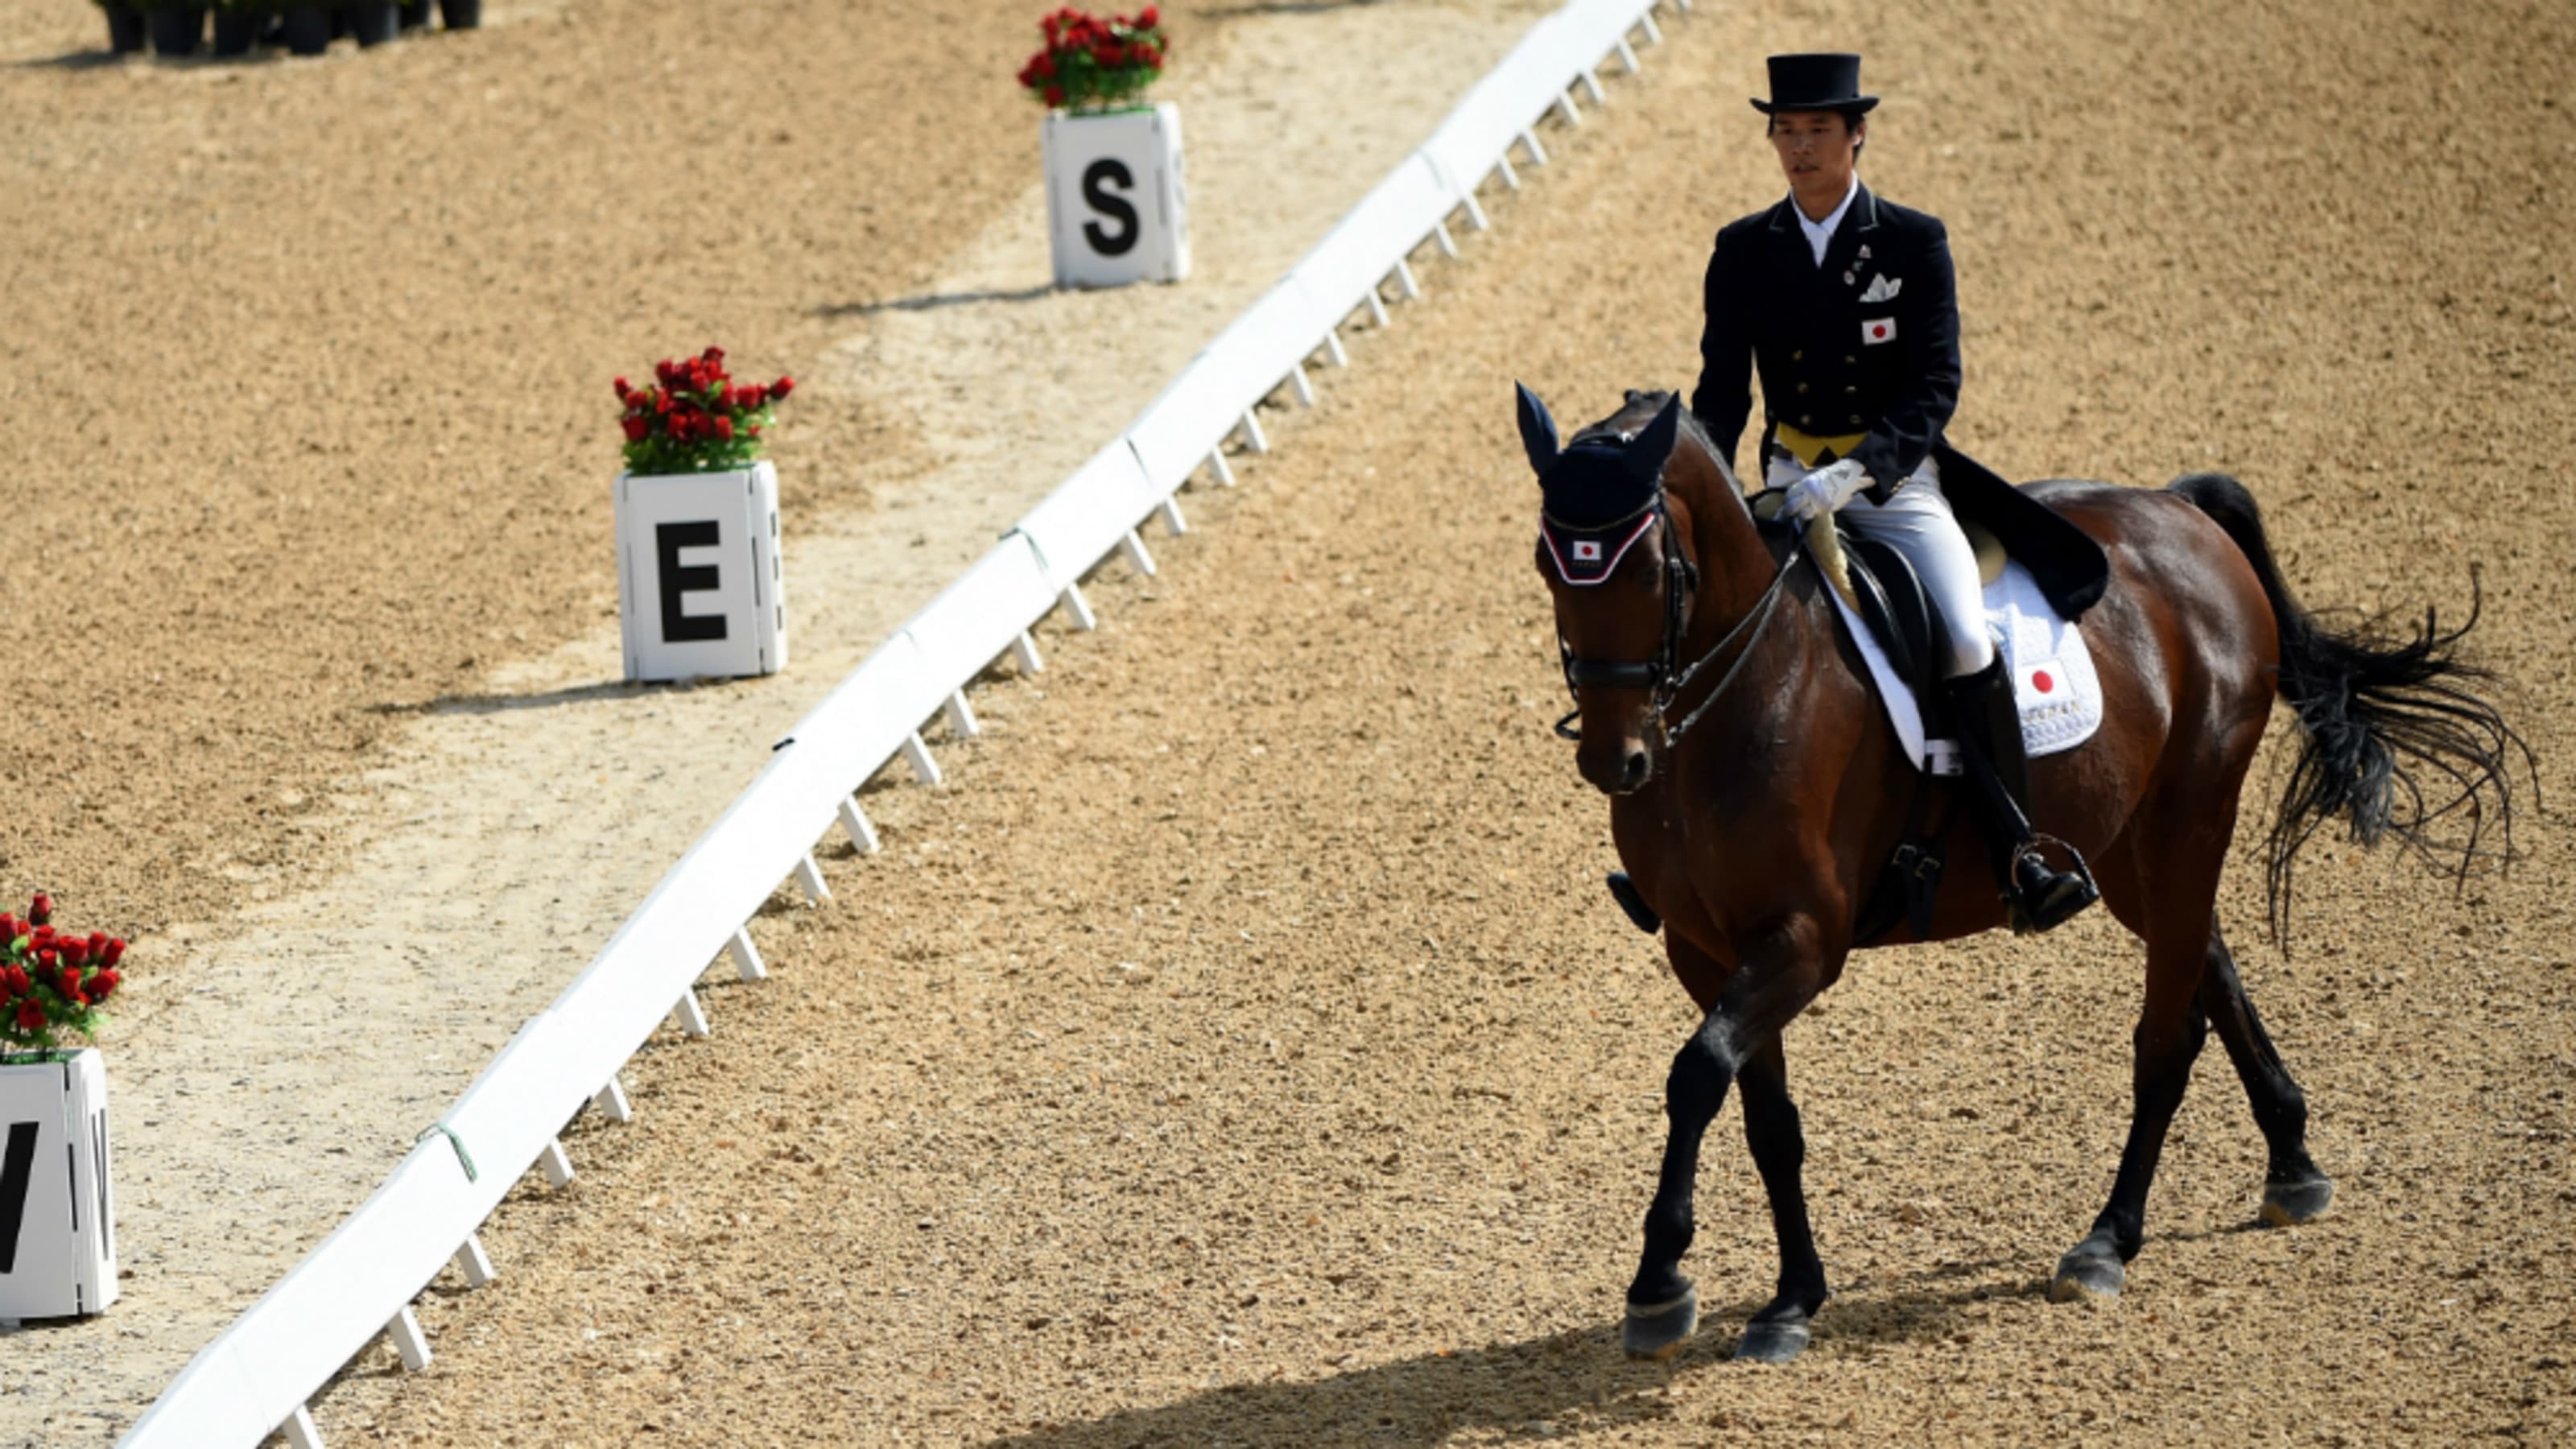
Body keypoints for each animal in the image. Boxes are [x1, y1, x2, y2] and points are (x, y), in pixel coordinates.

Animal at [1514, 382, 2524, 1351]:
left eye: (1653, 569)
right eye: (1545, 565)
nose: (1614, 761)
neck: (1729, 703)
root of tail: (2177, 509)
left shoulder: (1802, 941)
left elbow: (1695, 1075)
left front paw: (1658, 1283)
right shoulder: (1704, 948)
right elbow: (1764, 1117)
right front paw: (1791, 1297)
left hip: (2189, 815)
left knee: (2166, 1033)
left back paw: (2107, 1241)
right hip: (2128, 846)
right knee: (2207, 961)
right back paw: (2292, 1163)